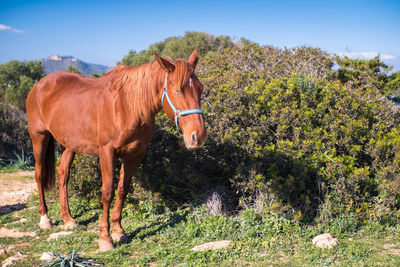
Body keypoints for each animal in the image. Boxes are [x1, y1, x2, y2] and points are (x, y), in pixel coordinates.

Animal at [25, 50, 206, 251]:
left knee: (63, 174)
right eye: (177, 90)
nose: (198, 135)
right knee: (40, 175)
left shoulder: (135, 155)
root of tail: (40, 85)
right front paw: (105, 238)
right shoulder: (107, 152)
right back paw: (45, 219)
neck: (127, 107)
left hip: (69, 145)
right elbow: (107, 193)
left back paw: (68, 219)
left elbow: (122, 190)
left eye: (200, 88)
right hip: (39, 137)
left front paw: (119, 231)